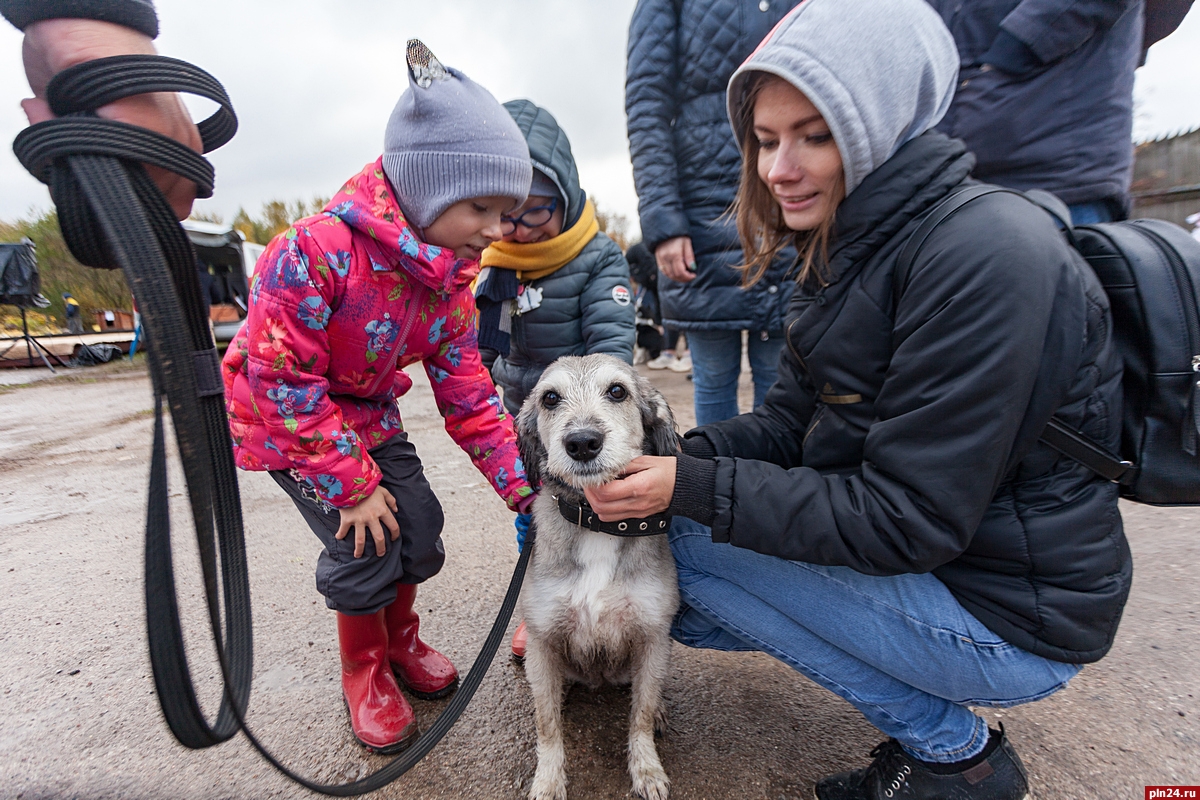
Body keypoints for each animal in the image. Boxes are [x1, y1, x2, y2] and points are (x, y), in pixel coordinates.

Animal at [516, 357, 681, 800]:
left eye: (617, 391)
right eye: (550, 398)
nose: (582, 442)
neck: (596, 524)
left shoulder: (653, 636)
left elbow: (640, 716)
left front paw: (647, 769)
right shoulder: (542, 642)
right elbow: (547, 725)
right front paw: (548, 780)